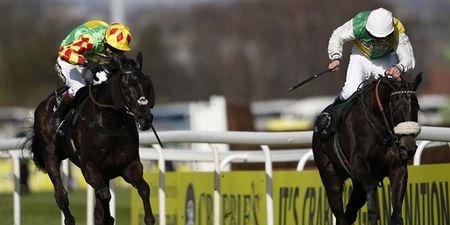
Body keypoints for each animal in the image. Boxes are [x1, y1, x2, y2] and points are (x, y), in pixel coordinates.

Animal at [25, 53, 158, 225]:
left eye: (147, 84)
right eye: (125, 86)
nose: (145, 118)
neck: (111, 125)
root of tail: (43, 104)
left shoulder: (128, 165)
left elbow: (144, 188)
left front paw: (148, 218)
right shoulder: (89, 167)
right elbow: (105, 195)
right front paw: (108, 217)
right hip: (50, 154)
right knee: (61, 195)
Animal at [312, 73, 422, 224]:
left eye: (417, 107)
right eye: (395, 107)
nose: (408, 147)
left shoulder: (398, 168)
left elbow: (397, 215)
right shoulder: (359, 165)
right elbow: (371, 187)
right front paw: (373, 216)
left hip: (356, 184)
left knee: (350, 211)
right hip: (330, 176)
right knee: (340, 214)